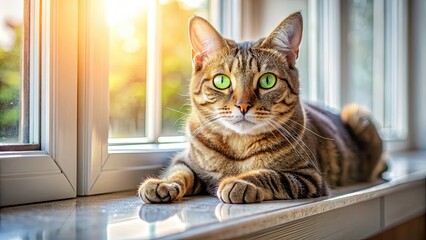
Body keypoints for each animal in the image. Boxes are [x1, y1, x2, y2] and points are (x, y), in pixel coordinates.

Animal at [137, 12, 386, 203]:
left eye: (267, 81)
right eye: (221, 81)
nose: (243, 105)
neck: (238, 149)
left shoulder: (309, 176)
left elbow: (271, 175)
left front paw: (238, 182)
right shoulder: (185, 159)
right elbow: (178, 172)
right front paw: (162, 184)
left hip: (357, 114)